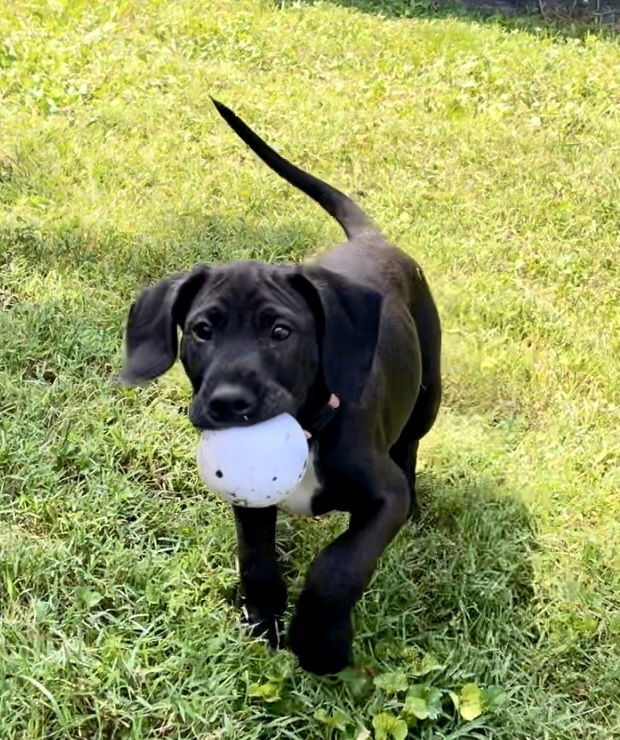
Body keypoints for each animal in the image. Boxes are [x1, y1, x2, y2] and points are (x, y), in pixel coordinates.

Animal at [121, 99, 440, 676]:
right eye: (202, 330)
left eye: (280, 332)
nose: (227, 403)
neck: (311, 429)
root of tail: (372, 240)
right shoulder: (247, 501)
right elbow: (257, 561)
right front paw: (262, 622)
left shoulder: (383, 497)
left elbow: (338, 566)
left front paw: (318, 643)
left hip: (430, 389)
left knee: (411, 443)